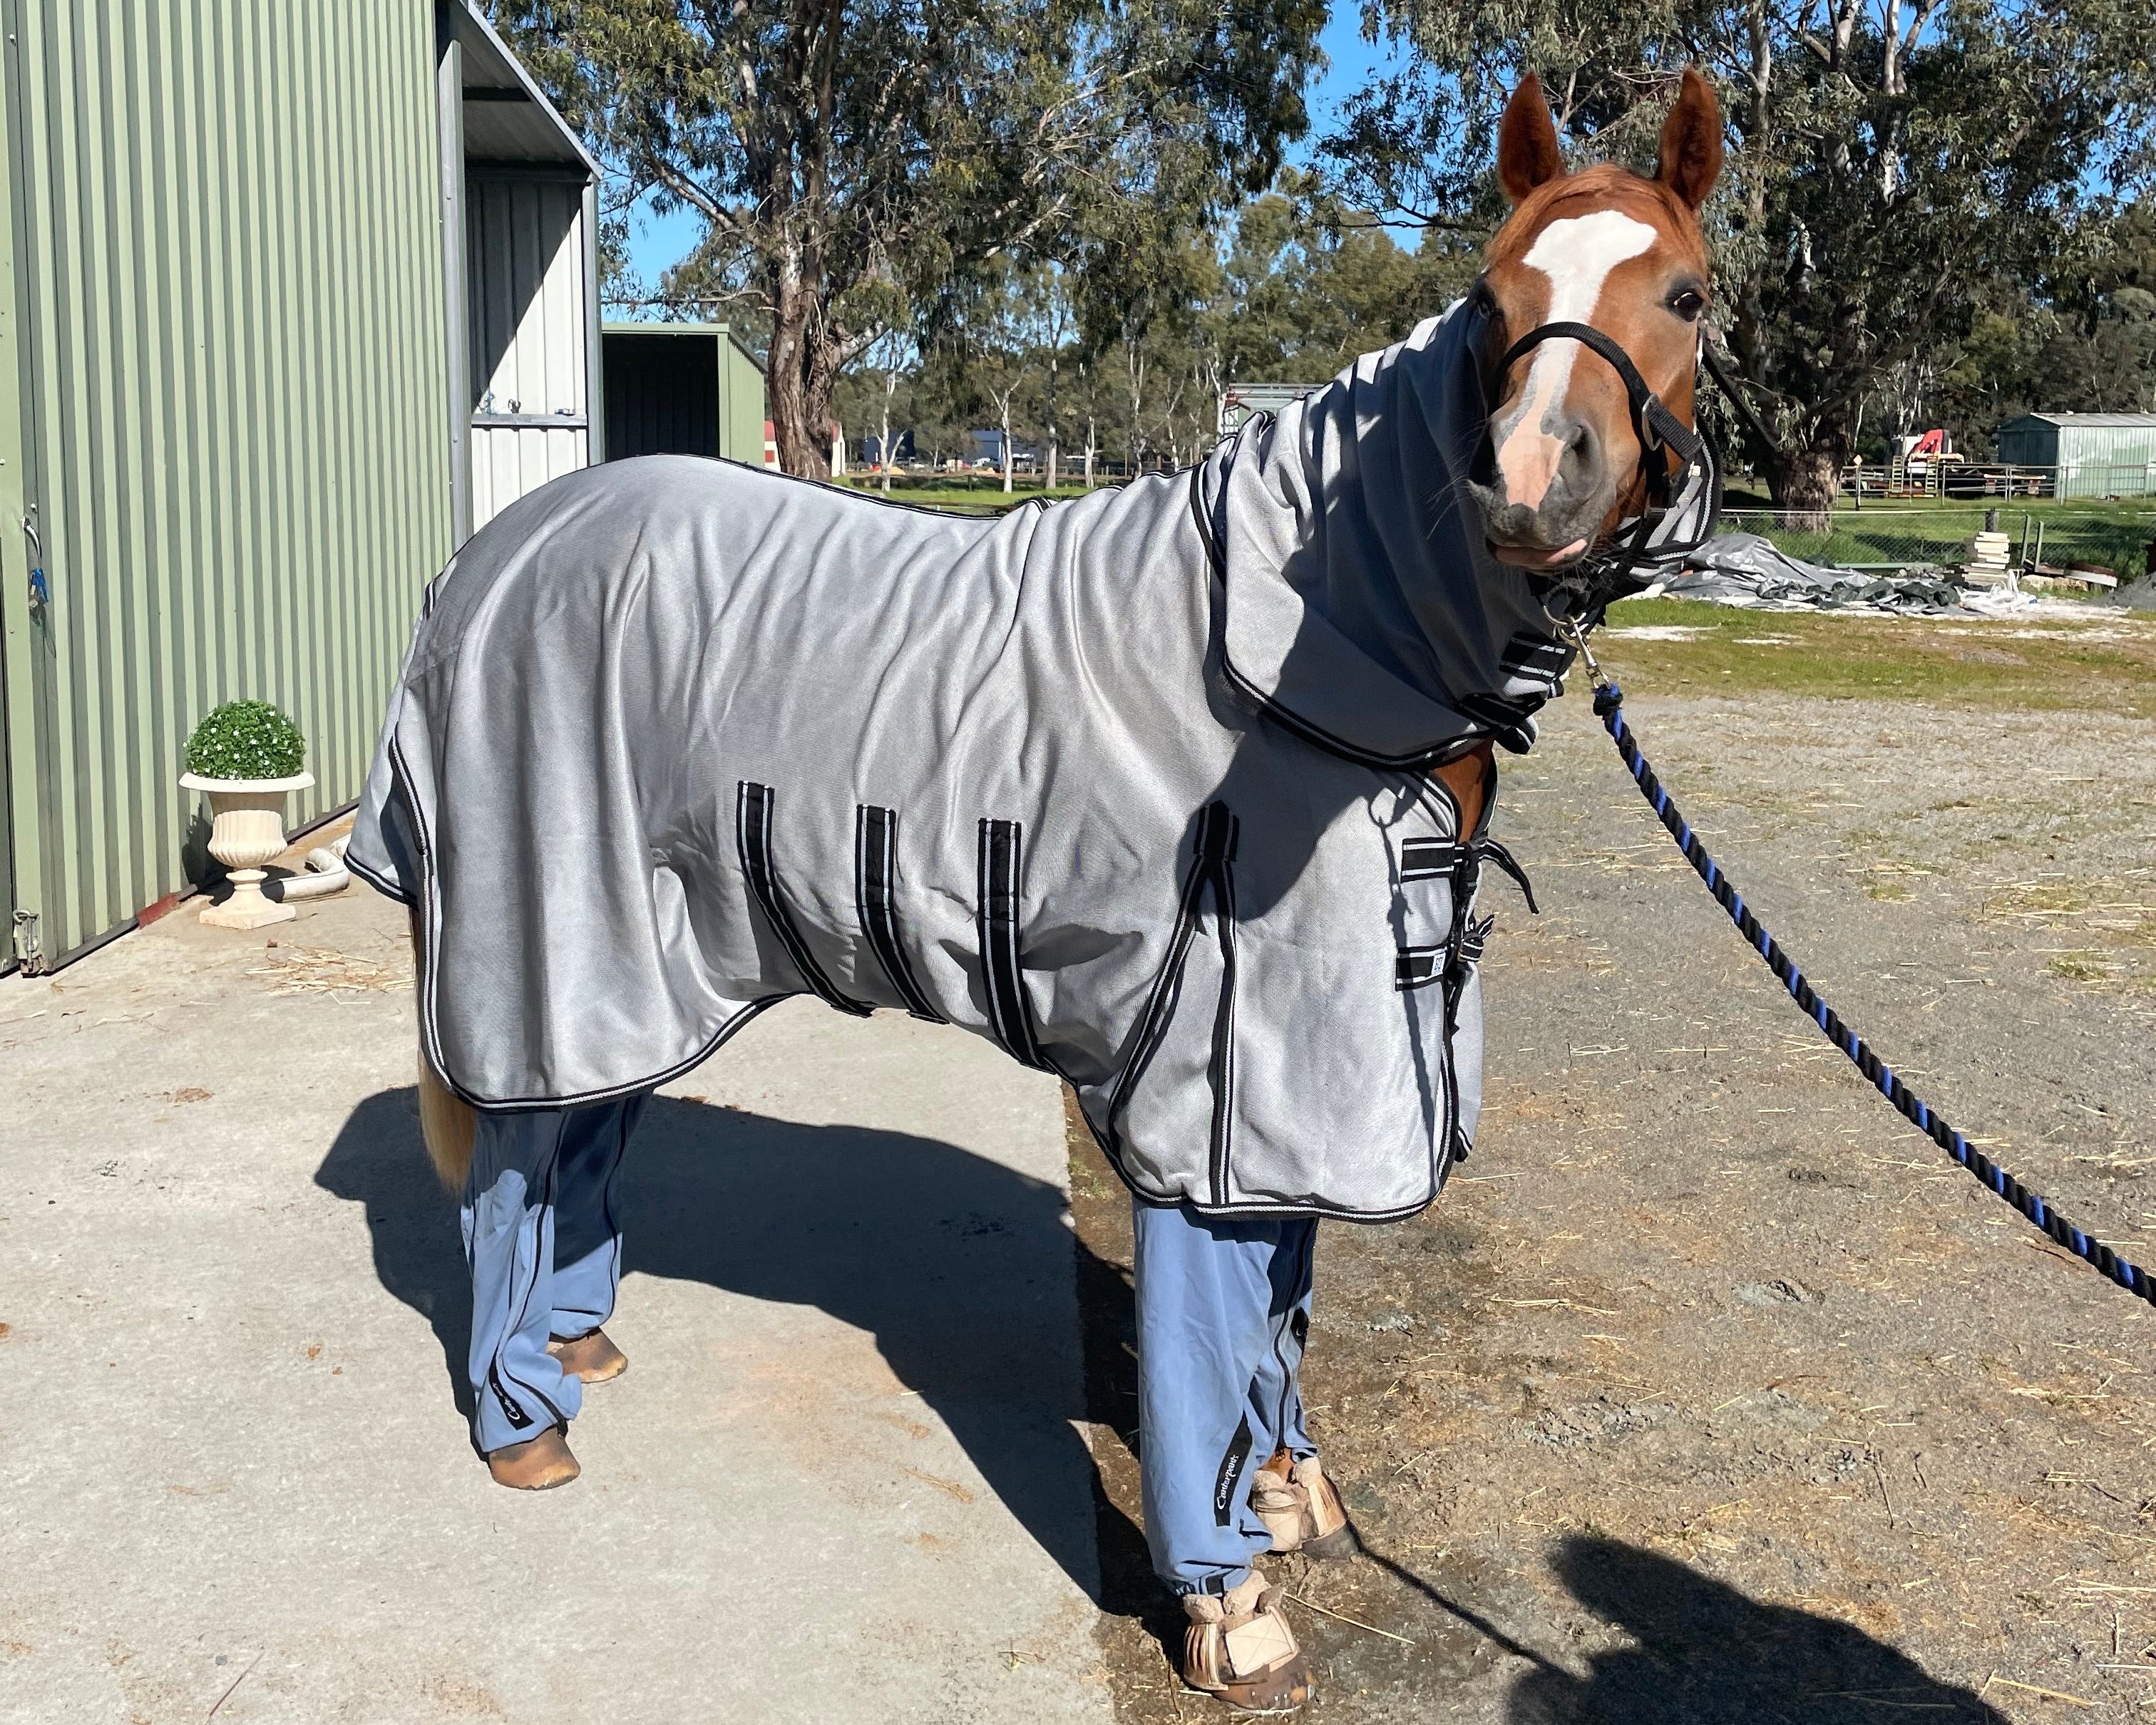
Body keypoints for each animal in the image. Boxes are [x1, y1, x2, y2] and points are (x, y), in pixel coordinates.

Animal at [353, 66, 1725, 1714]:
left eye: (1686, 293)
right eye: (1492, 290)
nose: (1528, 485)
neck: (1301, 655)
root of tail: (492, 554)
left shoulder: (1324, 1072)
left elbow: (1288, 1304)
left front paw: (1291, 1492)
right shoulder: (1216, 1075)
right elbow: (1214, 1332)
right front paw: (1225, 1595)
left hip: (640, 951)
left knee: (583, 1133)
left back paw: (576, 1351)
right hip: (541, 937)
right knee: (511, 1166)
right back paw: (522, 1422)